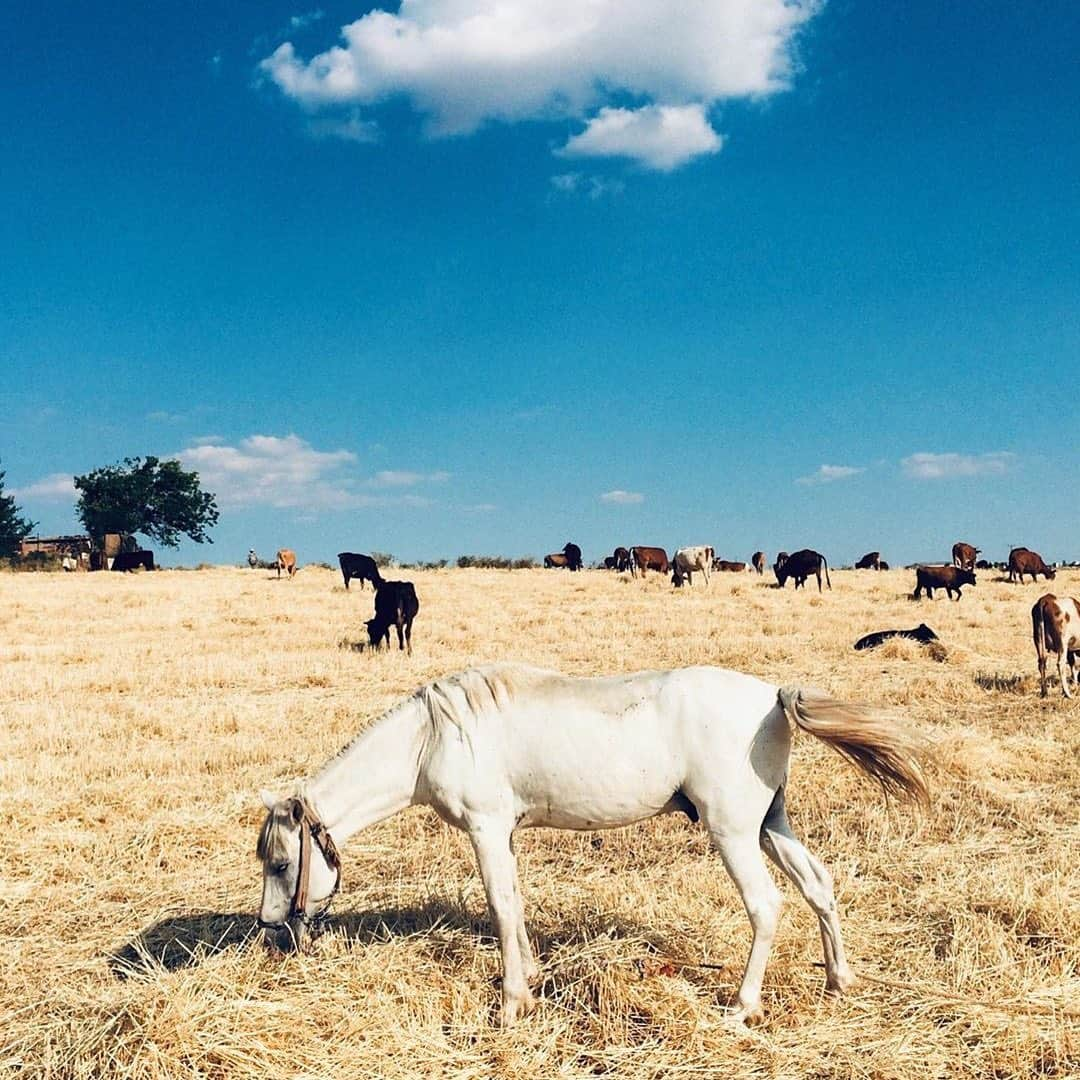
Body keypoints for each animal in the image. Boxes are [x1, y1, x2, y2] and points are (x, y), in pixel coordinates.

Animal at [254, 660, 928, 1023]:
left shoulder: (485, 829)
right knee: (818, 885)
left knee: (765, 906)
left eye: (283, 863)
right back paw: (838, 979)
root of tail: (771, 696)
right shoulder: (504, 835)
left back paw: (743, 1006)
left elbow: (500, 906)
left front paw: (513, 1000)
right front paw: (531, 979)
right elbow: (516, 904)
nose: (271, 930)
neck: (433, 738)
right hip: (770, 825)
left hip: (734, 832)